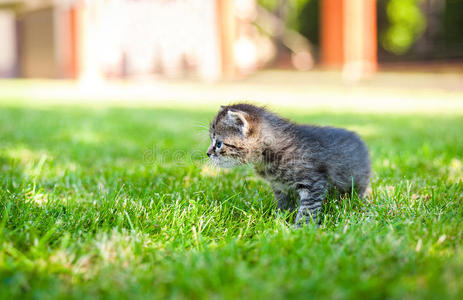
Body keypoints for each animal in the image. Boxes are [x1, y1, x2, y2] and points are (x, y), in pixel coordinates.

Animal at [208, 103, 372, 225]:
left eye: (219, 144)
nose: (208, 153)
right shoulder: (280, 186)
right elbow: (284, 205)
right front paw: (280, 220)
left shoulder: (314, 182)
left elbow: (308, 209)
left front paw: (301, 228)